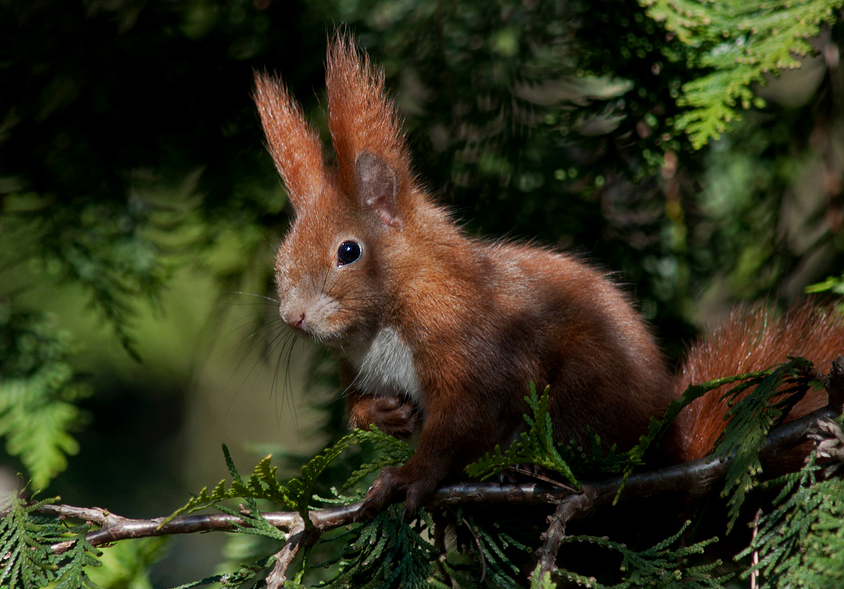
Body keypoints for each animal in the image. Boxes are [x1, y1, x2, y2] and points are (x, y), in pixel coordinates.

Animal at [254, 35, 844, 516]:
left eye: (349, 251)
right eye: (282, 253)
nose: (293, 316)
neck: (385, 317)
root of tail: (670, 449)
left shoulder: (465, 344)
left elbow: (461, 423)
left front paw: (410, 477)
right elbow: (363, 408)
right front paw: (378, 414)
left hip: (586, 389)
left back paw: (531, 469)